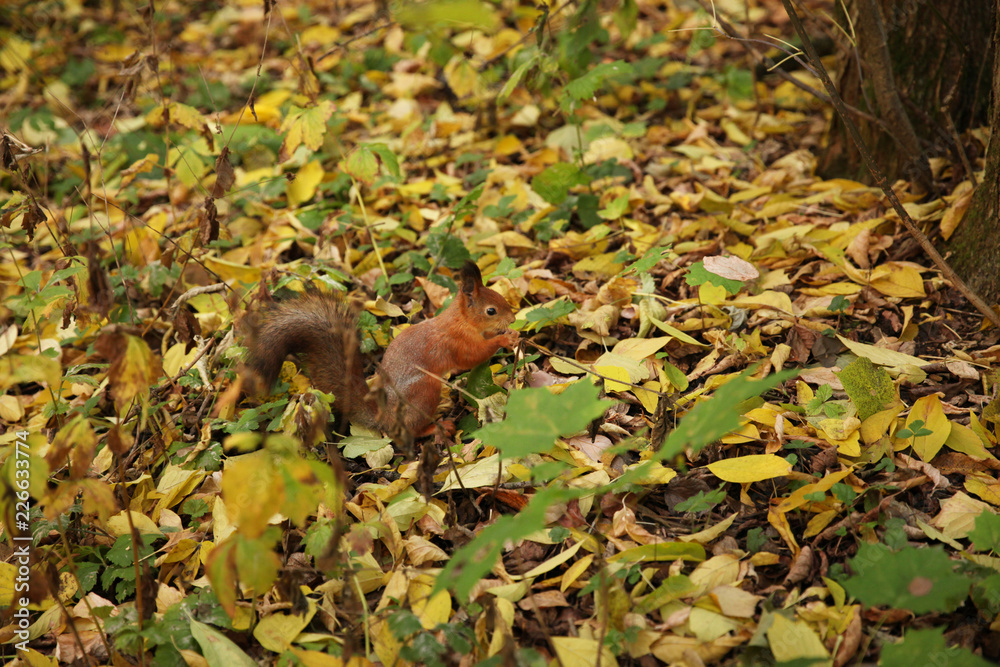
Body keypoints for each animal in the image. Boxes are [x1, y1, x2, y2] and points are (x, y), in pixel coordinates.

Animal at [244, 261, 518, 438]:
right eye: (491, 310)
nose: (514, 318)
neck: (461, 321)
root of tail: (385, 417)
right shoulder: (456, 342)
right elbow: (473, 357)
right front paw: (504, 340)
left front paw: (509, 334)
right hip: (424, 390)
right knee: (410, 432)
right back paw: (436, 427)